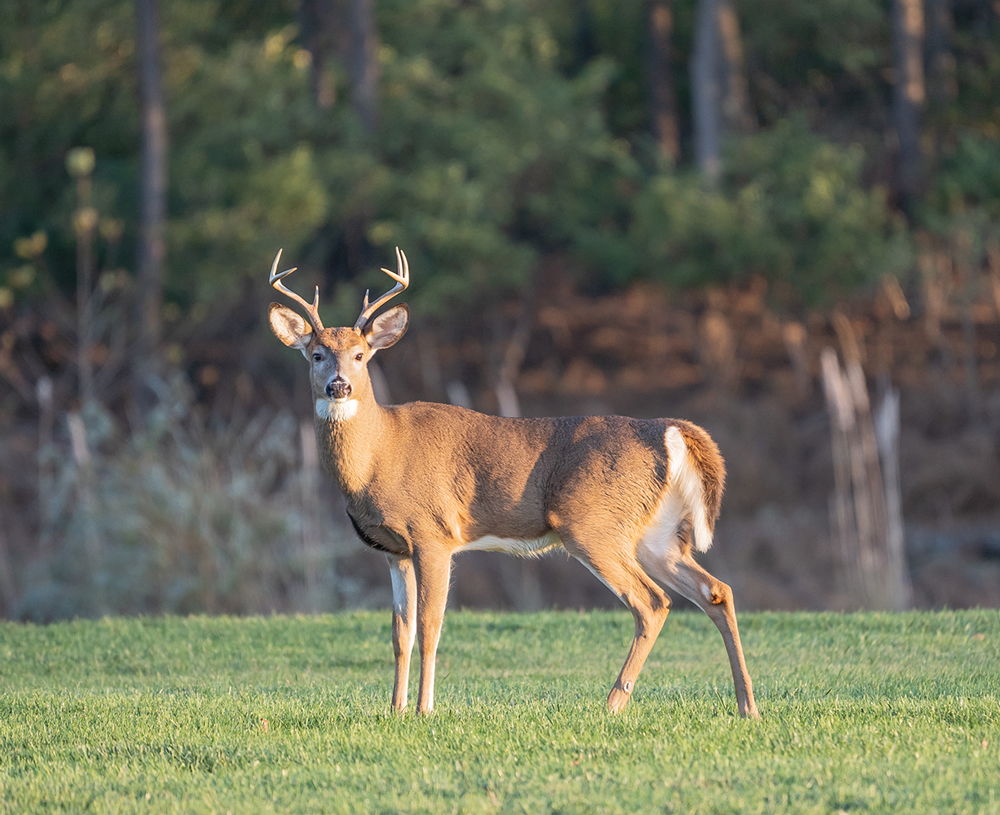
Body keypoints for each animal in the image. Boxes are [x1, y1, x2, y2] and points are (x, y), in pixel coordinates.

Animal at [266, 249, 756, 720]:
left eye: (360, 355)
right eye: (317, 355)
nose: (339, 386)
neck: (379, 454)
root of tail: (669, 430)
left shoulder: (433, 534)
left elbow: (430, 626)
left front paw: (423, 710)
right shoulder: (393, 550)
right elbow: (399, 633)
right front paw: (395, 709)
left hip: (593, 523)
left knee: (651, 602)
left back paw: (613, 704)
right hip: (655, 533)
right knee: (716, 591)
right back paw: (746, 705)